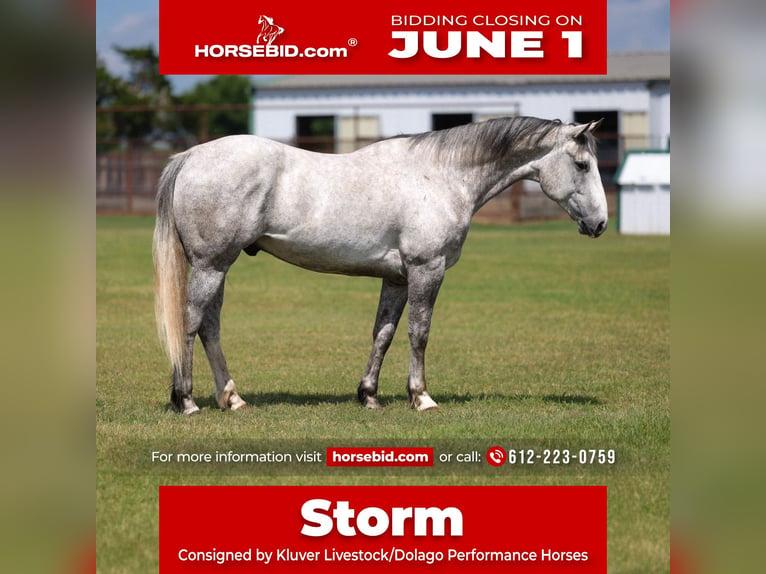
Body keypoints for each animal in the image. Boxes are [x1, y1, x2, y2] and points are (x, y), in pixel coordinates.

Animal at [153, 116, 607, 415]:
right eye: (582, 164)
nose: (600, 223)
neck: (440, 175)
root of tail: (192, 156)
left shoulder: (397, 278)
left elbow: (383, 334)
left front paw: (368, 395)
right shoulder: (427, 269)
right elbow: (419, 334)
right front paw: (421, 397)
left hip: (218, 267)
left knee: (210, 327)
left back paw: (232, 398)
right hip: (211, 265)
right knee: (191, 323)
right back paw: (187, 400)